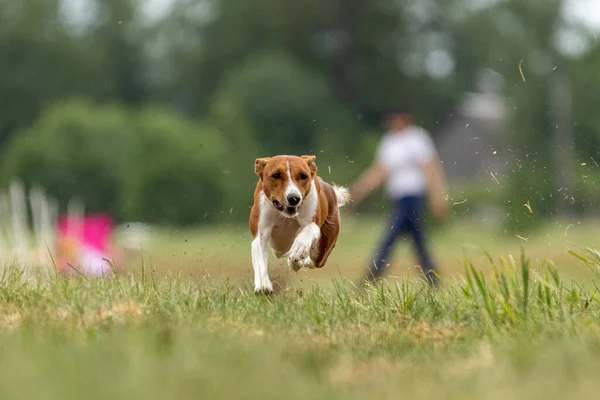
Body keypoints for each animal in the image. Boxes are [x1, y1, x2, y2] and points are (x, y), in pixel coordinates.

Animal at [250, 155, 352, 292]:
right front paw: (263, 285)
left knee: (314, 258)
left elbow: (309, 230)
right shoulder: (261, 232)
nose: (294, 198)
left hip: (325, 244)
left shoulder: (312, 220)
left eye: (303, 176)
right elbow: (259, 254)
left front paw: (300, 247)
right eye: (276, 175)